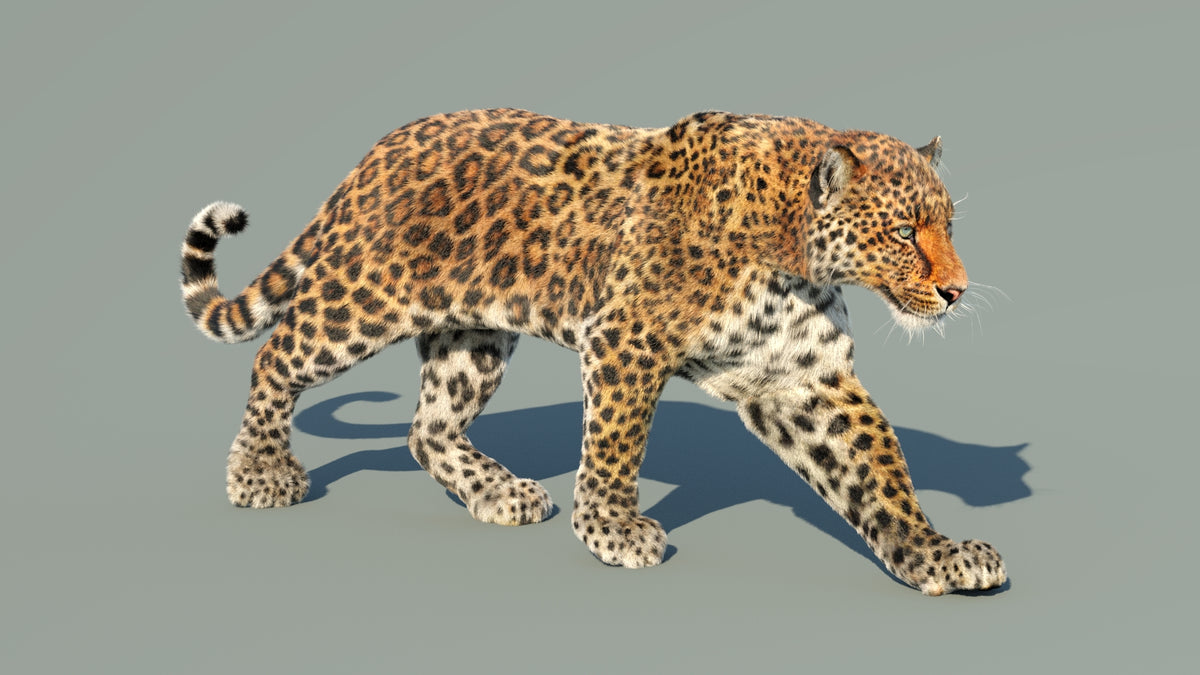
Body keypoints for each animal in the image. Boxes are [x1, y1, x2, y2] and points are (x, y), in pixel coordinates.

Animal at [180, 108, 1005, 595]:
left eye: (948, 227)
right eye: (904, 232)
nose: (958, 290)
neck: (792, 254)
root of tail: (381, 148)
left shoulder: (802, 380)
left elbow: (878, 474)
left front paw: (936, 554)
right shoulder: (626, 342)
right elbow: (615, 444)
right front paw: (613, 530)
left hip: (474, 333)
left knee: (429, 426)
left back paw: (499, 492)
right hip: (363, 298)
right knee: (276, 355)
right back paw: (260, 473)